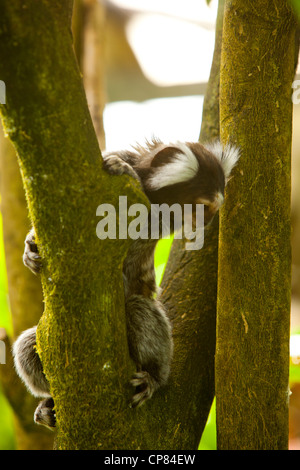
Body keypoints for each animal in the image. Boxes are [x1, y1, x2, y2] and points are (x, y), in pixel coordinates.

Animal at [12, 138, 240, 428]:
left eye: (212, 210)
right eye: (204, 207)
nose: (208, 222)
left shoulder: (159, 221)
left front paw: (128, 174)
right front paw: (30, 248)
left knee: (138, 308)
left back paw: (152, 377)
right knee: (27, 345)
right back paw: (48, 405)